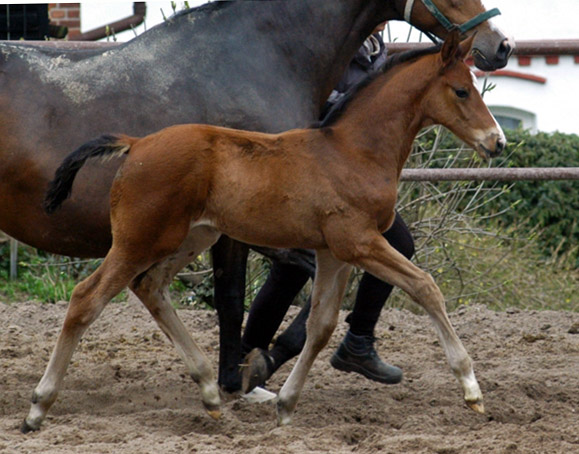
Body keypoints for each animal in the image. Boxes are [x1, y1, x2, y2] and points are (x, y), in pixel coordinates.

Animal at [30, 31, 502, 430]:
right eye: (461, 90)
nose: (496, 142)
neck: (352, 152)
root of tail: (136, 144)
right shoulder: (359, 243)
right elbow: (425, 287)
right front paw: (472, 389)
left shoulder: (334, 252)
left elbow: (321, 325)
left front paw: (286, 405)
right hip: (138, 240)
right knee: (86, 298)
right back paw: (38, 406)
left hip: (193, 237)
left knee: (150, 287)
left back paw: (210, 392)